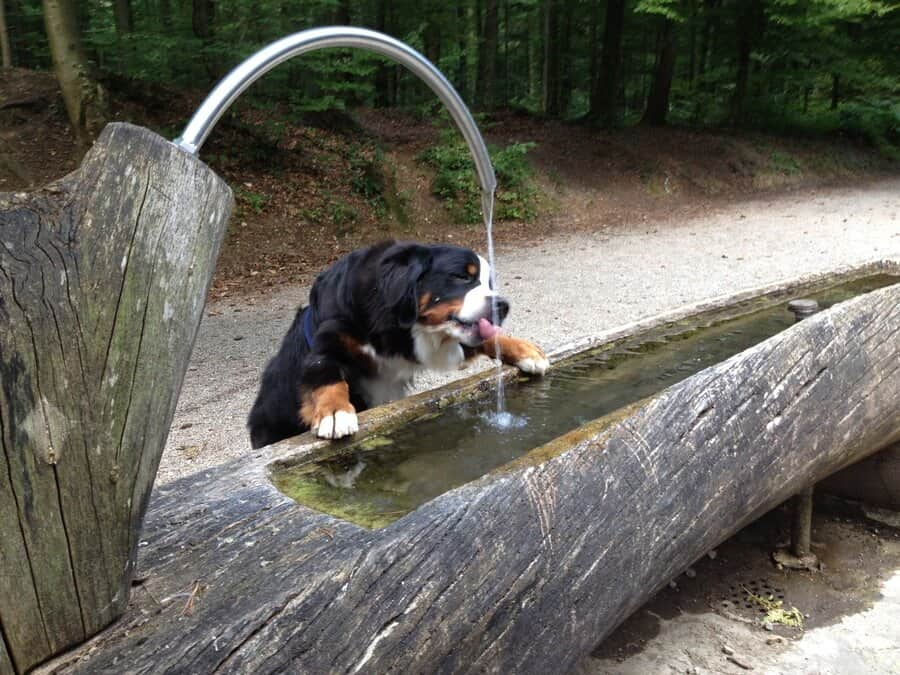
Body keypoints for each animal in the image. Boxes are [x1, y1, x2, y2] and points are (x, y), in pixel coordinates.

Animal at [250, 242, 552, 448]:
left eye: (488, 283)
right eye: (462, 277)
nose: (503, 306)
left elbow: (488, 336)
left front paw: (527, 351)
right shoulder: (327, 339)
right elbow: (326, 371)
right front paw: (335, 413)